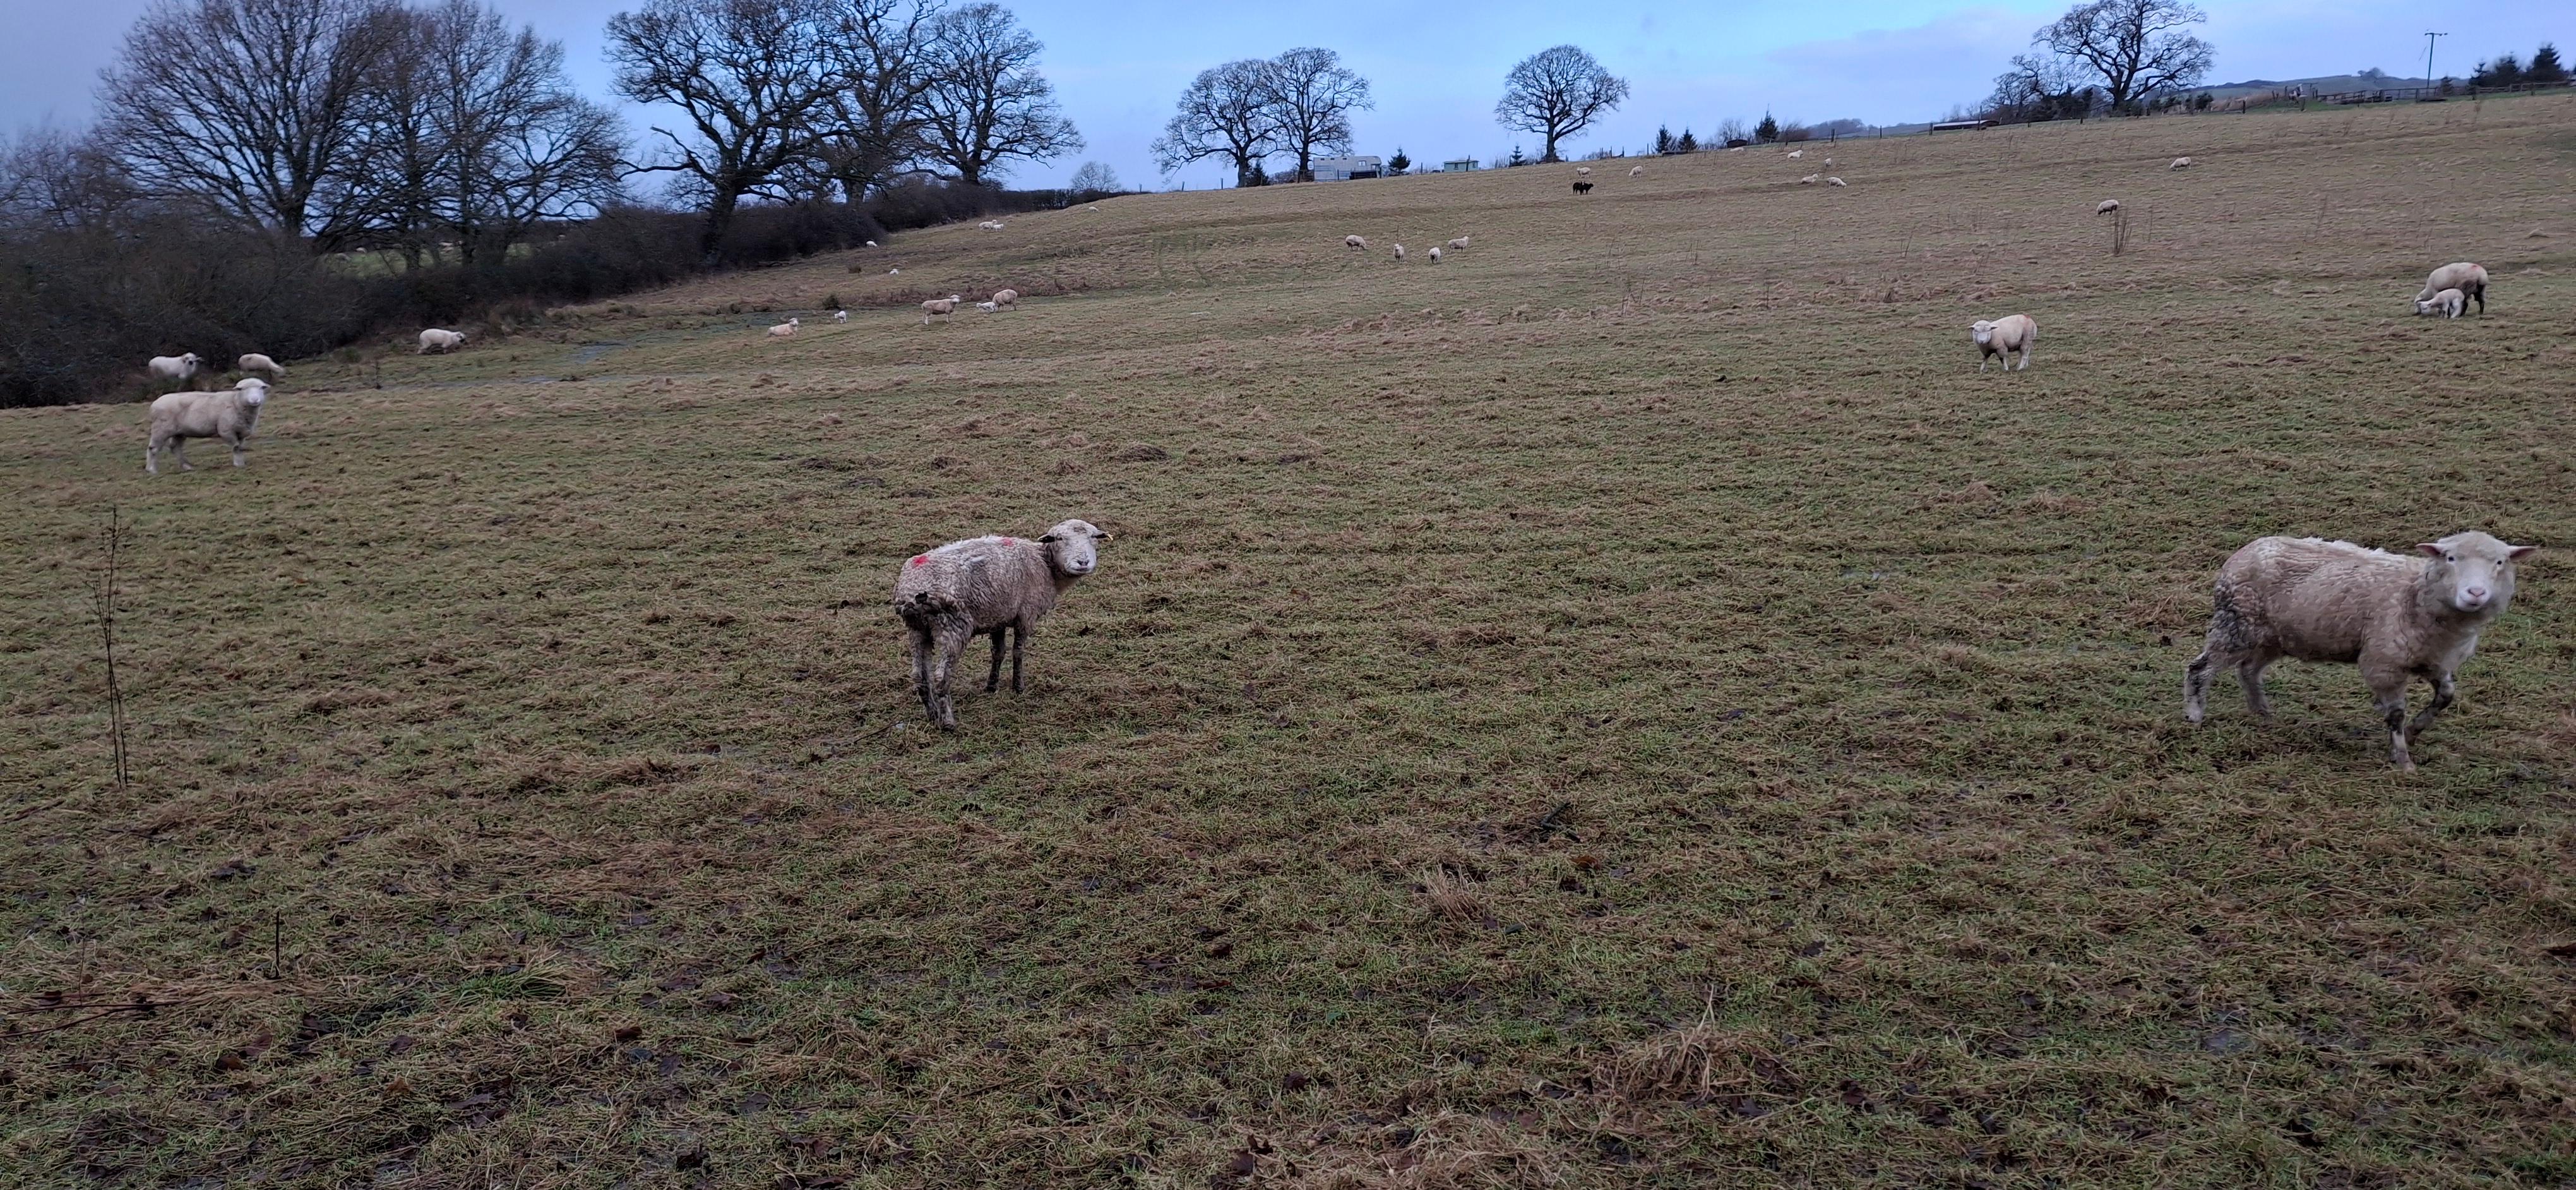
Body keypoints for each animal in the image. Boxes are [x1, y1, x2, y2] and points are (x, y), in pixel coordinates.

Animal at [145, 378, 269, 474]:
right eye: (242, 389)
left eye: (261, 388)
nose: (255, 400)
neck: (235, 402)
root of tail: (154, 404)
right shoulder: (226, 430)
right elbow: (236, 447)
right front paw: (238, 464)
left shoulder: (241, 432)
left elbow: (240, 448)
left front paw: (241, 462)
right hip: (161, 429)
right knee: (153, 448)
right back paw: (151, 470)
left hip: (179, 432)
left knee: (176, 448)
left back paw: (187, 467)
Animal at [892, 519, 1112, 729]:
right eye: (1059, 539)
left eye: (1094, 537)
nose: (1083, 562)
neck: (1045, 565)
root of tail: (912, 593)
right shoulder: (1026, 615)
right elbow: (1018, 651)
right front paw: (1018, 687)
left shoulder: (998, 618)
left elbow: (998, 652)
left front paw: (992, 686)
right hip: (953, 627)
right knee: (940, 677)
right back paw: (947, 722)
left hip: (917, 629)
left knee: (919, 675)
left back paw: (932, 715)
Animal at [2183, 532, 2536, 770]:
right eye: (2451, 559)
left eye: (2500, 562)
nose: (2475, 593)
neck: (2415, 595)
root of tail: (2247, 550)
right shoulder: (2384, 663)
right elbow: (2395, 714)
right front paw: (2403, 759)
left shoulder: (2435, 660)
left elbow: (2447, 696)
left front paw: (2416, 730)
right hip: (2236, 624)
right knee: (2200, 668)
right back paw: (2194, 715)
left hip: (2276, 636)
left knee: (2248, 671)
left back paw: (2264, 716)